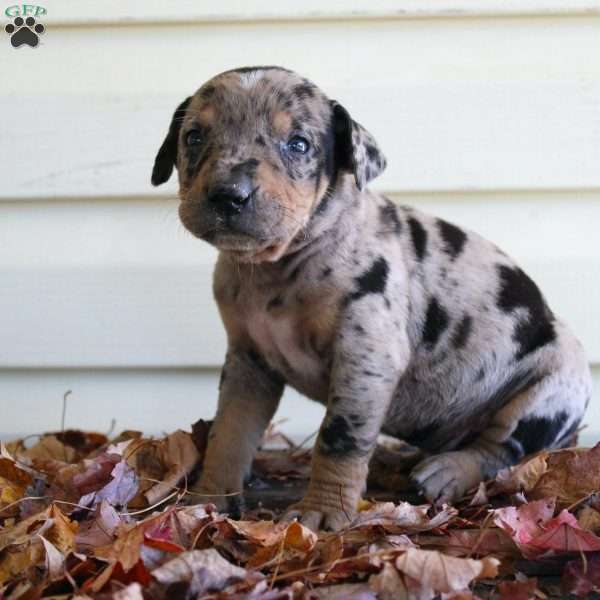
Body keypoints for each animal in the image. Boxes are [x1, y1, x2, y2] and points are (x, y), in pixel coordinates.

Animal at [152, 68, 592, 532]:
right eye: (194, 136)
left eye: (298, 144)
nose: (228, 194)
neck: (278, 269)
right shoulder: (248, 361)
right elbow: (230, 431)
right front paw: (209, 498)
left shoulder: (365, 356)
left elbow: (339, 437)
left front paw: (323, 510)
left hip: (549, 393)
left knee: (503, 450)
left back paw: (449, 471)